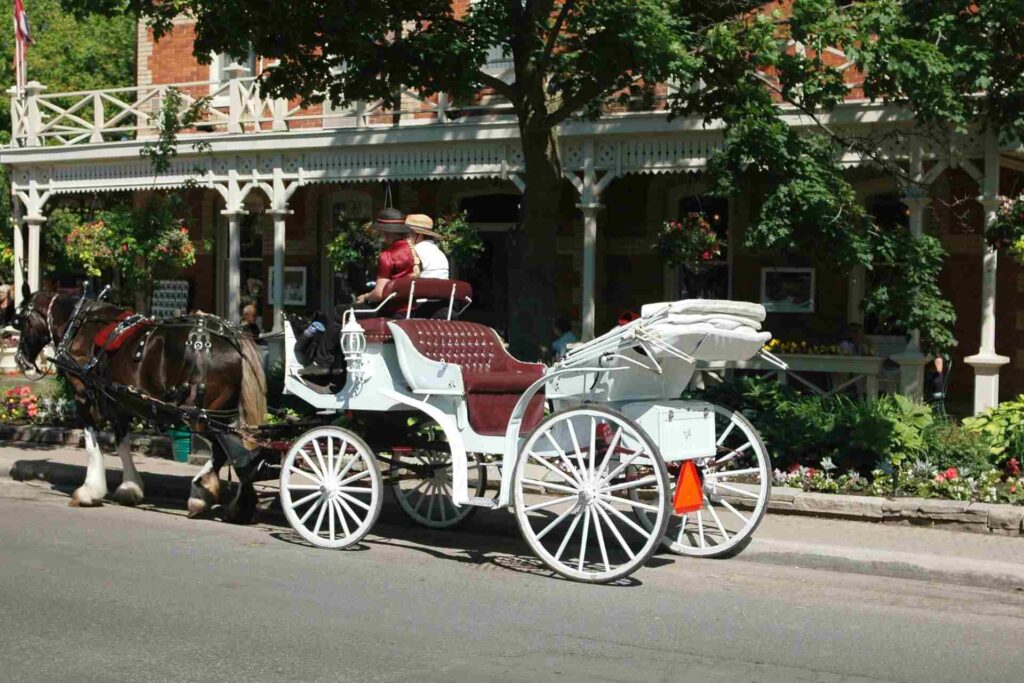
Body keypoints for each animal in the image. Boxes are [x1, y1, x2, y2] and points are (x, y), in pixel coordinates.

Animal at [14, 290, 268, 520]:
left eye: (22, 320)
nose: (20, 360)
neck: (80, 326)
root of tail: (235, 338)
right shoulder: (117, 401)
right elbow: (121, 441)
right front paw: (129, 487)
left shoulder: (84, 395)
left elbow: (91, 441)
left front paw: (89, 491)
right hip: (225, 414)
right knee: (245, 453)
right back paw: (241, 506)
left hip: (199, 415)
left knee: (228, 453)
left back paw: (200, 495)